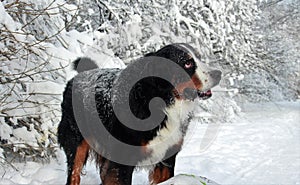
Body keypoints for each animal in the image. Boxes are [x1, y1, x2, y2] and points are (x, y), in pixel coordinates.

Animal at [58, 42, 223, 184]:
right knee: (74, 175)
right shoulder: (122, 159)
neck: (161, 102)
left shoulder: (167, 157)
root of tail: (81, 75)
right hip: (76, 143)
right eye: (187, 63)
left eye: (199, 58)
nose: (218, 73)